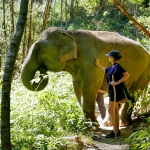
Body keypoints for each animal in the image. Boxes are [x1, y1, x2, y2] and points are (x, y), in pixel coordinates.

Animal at [21, 26, 150, 125]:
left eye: (37, 48)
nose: (41, 68)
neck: (69, 33)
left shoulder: (91, 63)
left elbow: (89, 88)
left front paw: (93, 125)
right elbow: (77, 88)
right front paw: (89, 123)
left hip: (145, 72)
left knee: (135, 93)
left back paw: (124, 123)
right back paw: (108, 123)